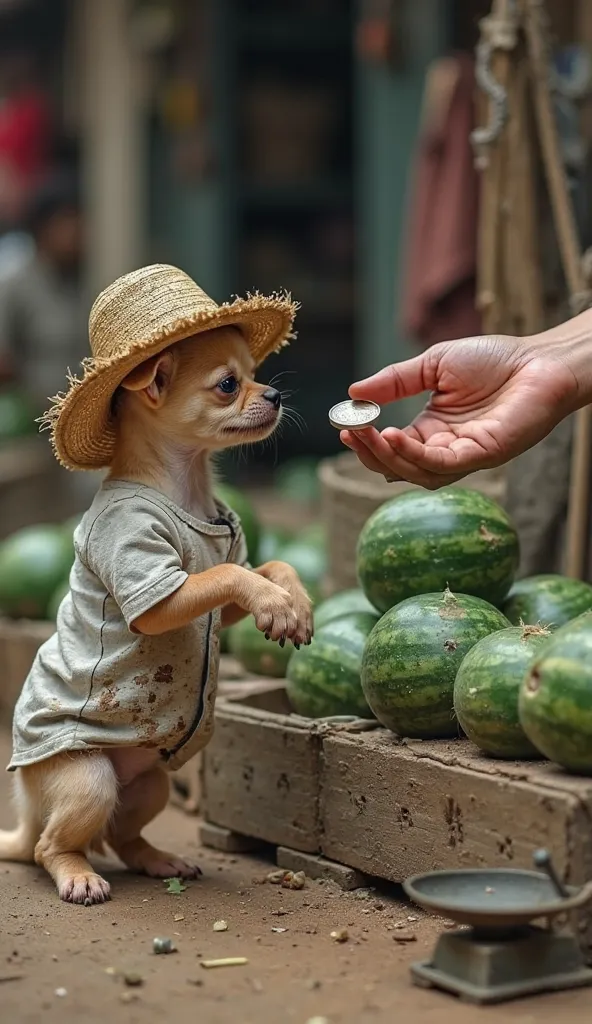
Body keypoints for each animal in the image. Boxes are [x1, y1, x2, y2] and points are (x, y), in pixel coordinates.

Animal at [0, 264, 313, 905]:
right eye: (228, 385)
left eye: (257, 374)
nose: (274, 395)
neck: (186, 485)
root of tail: (28, 808)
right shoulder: (147, 569)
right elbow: (224, 574)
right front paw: (277, 602)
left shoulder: (231, 572)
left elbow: (262, 568)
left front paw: (292, 600)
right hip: (86, 780)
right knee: (52, 846)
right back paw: (76, 875)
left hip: (149, 785)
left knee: (123, 837)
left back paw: (157, 858)